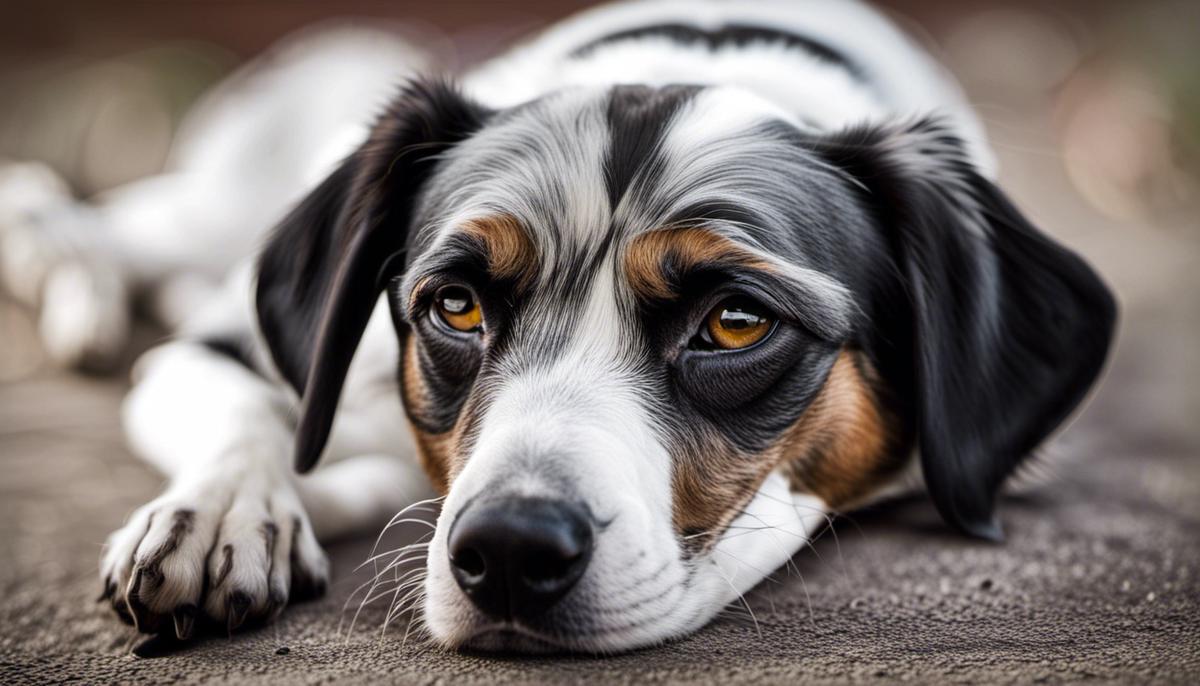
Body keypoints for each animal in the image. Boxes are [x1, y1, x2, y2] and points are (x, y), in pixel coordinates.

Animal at [9, 0, 1118, 652]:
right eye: (455, 304)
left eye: (736, 322)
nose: (506, 549)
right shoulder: (226, 349)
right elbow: (248, 412)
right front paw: (220, 517)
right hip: (215, 207)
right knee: (105, 219)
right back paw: (68, 269)